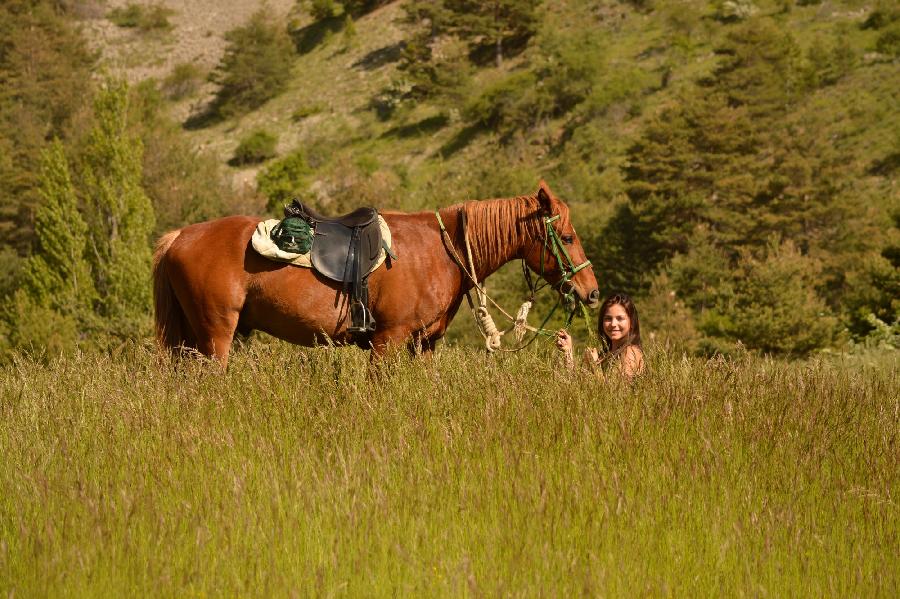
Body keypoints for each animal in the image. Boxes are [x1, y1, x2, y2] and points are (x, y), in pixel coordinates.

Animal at [154, 179, 600, 366]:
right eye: (567, 235)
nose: (592, 292)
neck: (442, 250)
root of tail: (179, 237)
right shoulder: (388, 340)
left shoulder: (424, 345)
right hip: (215, 335)